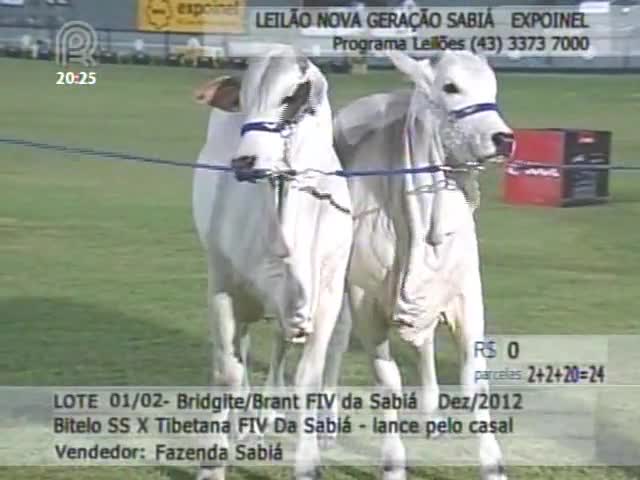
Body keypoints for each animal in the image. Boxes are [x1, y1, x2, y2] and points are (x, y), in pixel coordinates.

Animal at [192, 45, 352, 480]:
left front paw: (308, 462)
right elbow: (227, 373)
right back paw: (247, 428)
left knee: (280, 357)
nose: (245, 162)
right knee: (245, 355)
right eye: (244, 101)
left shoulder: (326, 299)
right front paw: (212, 462)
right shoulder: (222, 288)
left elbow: (307, 377)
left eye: (289, 98)